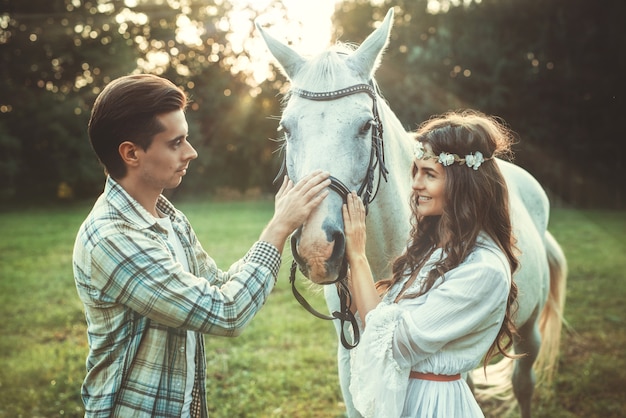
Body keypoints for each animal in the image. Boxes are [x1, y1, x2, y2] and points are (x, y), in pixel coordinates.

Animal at [255, 9, 564, 418]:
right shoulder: (350, 361)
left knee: (523, 382)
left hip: (528, 329)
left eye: (365, 126)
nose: (317, 249)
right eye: (286, 128)